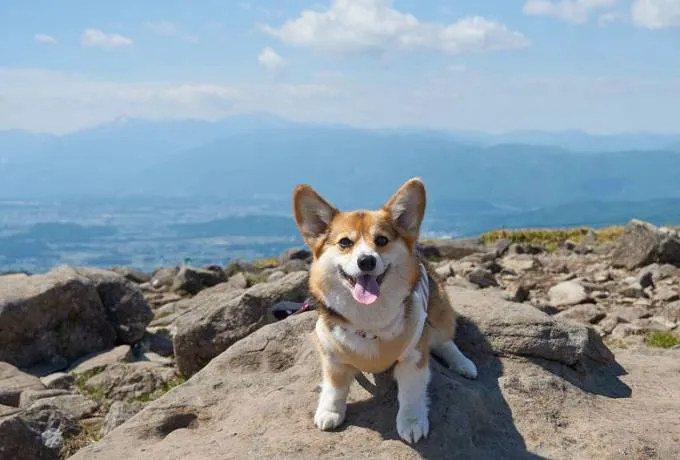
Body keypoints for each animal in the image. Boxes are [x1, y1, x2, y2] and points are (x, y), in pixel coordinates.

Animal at [292, 178, 478, 444]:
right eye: (345, 242)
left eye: (381, 240)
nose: (366, 261)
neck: (369, 319)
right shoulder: (332, 356)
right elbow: (334, 387)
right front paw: (330, 411)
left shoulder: (413, 356)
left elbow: (411, 393)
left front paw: (411, 422)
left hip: (440, 312)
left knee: (444, 340)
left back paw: (463, 364)